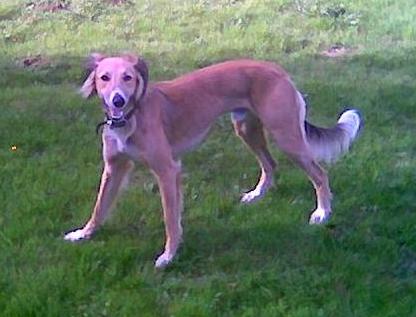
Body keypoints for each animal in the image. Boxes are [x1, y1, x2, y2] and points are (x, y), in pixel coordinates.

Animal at [64, 53, 360, 266]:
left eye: (128, 77)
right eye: (104, 77)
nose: (117, 101)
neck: (132, 117)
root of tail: (278, 70)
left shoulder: (167, 170)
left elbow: (170, 218)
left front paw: (169, 256)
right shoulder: (114, 168)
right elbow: (100, 207)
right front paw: (84, 234)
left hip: (286, 137)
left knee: (319, 174)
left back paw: (322, 213)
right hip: (246, 128)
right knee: (270, 164)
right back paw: (257, 195)